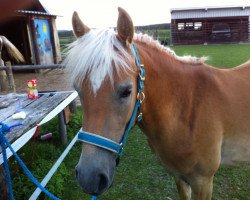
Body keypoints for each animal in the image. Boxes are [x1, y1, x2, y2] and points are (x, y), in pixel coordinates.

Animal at [64, 7, 250, 200]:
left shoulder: (203, 182)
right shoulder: (179, 177)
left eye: (127, 91)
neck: (187, 108)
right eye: (78, 90)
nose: (89, 178)